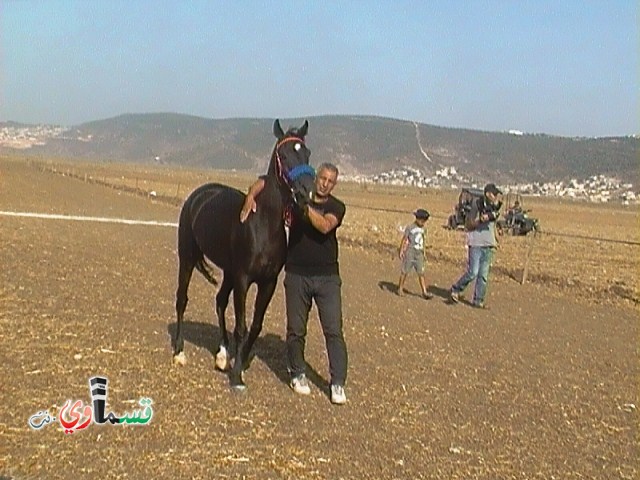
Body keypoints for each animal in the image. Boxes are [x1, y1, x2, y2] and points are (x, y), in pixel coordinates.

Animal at [174, 120, 316, 390]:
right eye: (283, 155)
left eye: (307, 153)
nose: (306, 191)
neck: (263, 224)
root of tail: (197, 195)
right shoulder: (243, 279)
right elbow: (241, 326)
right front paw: (237, 375)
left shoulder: (268, 282)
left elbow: (256, 325)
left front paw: (242, 360)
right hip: (187, 259)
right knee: (181, 300)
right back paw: (179, 351)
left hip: (228, 272)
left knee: (220, 301)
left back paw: (222, 354)